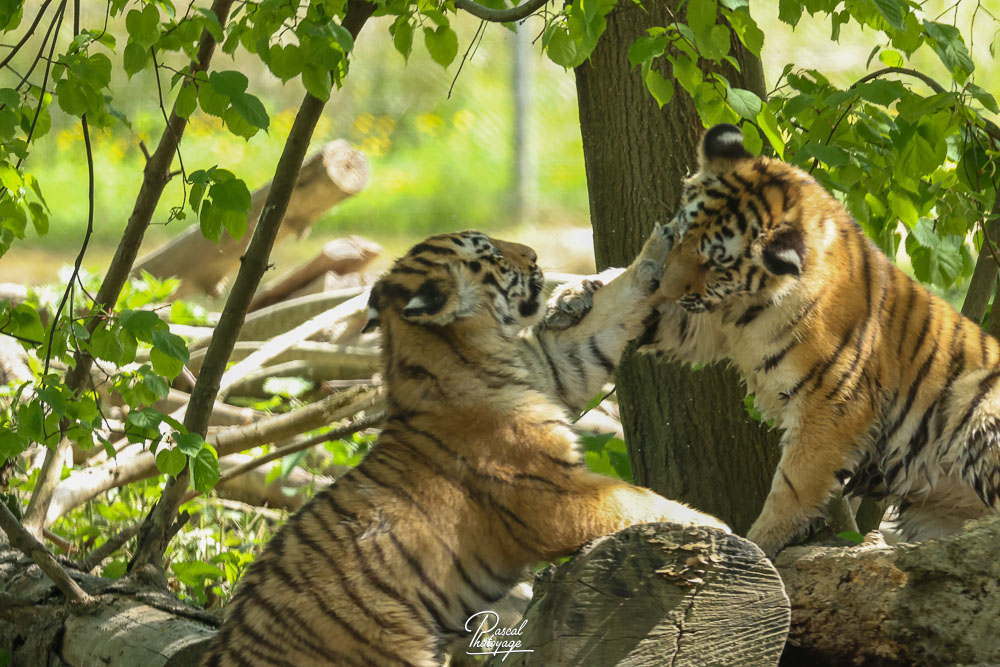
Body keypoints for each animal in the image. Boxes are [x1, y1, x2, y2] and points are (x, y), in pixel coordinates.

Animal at [202, 229, 729, 666]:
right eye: (491, 254)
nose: (534, 254)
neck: (478, 353)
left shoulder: (558, 366)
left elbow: (607, 319)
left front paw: (659, 249)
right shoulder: (551, 494)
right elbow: (635, 500)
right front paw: (715, 525)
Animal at [640, 122, 1000, 560]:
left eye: (716, 263)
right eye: (681, 233)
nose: (665, 287)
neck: (747, 307)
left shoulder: (832, 406)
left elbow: (792, 487)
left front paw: (759, 545)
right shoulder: (706, 325)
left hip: (978, 405)